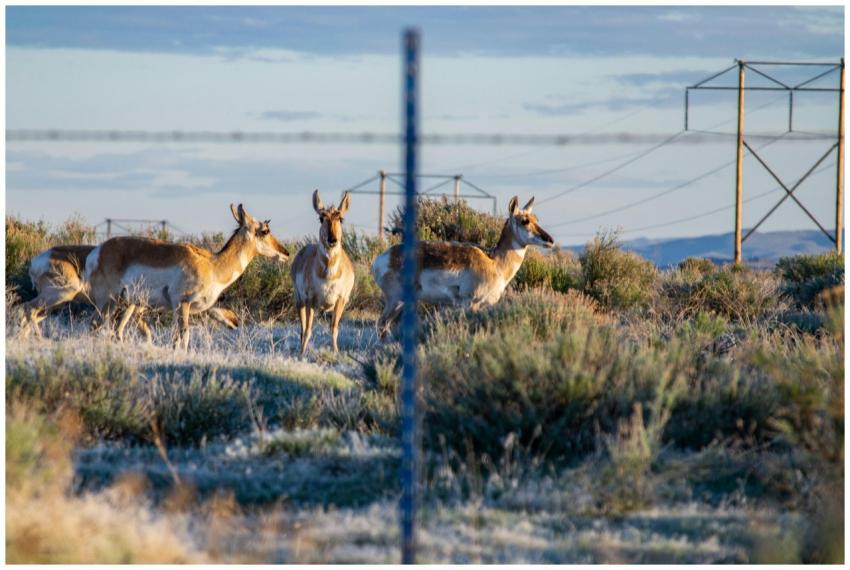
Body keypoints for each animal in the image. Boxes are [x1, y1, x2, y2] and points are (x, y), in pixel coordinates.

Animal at [84, 204, 289, 349]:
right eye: (265, 230)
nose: (286, 253)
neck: (212, 265)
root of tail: (98, 251)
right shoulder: (182, 304)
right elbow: (184, 338)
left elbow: (177, 340)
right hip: (107, 302)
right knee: (94, 325)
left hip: (127, 304)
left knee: (116, 331)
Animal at [291, 190, 355, 354]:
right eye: (321, 218)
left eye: (341, 219)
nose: (332, 240)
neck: (329, 276)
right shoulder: (310, 300)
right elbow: (308, 330)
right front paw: (302, 354)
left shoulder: (340, 300)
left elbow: (334, 328)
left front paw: (336, 351)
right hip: (299, 301)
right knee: (302, 329)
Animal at [371, 196, 554, 338]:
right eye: (525, 221)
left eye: (536, 219)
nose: (550, 240)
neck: (495, 262)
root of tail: (383, 258)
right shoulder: (471, 304)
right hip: (396, 300)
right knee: (381, 324)